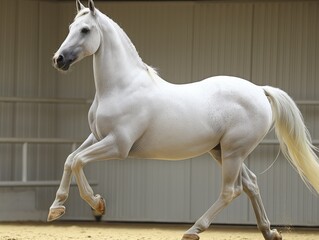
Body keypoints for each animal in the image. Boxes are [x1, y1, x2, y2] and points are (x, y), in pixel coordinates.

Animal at [48, 0, 319, 239]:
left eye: (85, 29)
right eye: (70, 27)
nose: (58, 59)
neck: (122, 87)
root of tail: (260, 90)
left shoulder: (118, 145)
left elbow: (78, 161)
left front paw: (97, 204)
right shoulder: (97, 137)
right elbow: (70, 159)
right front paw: (56, 208)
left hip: (233, 152)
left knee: (231, 191)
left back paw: (194, 230)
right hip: (222, 151)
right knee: (251, 184)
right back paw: (269, 232)